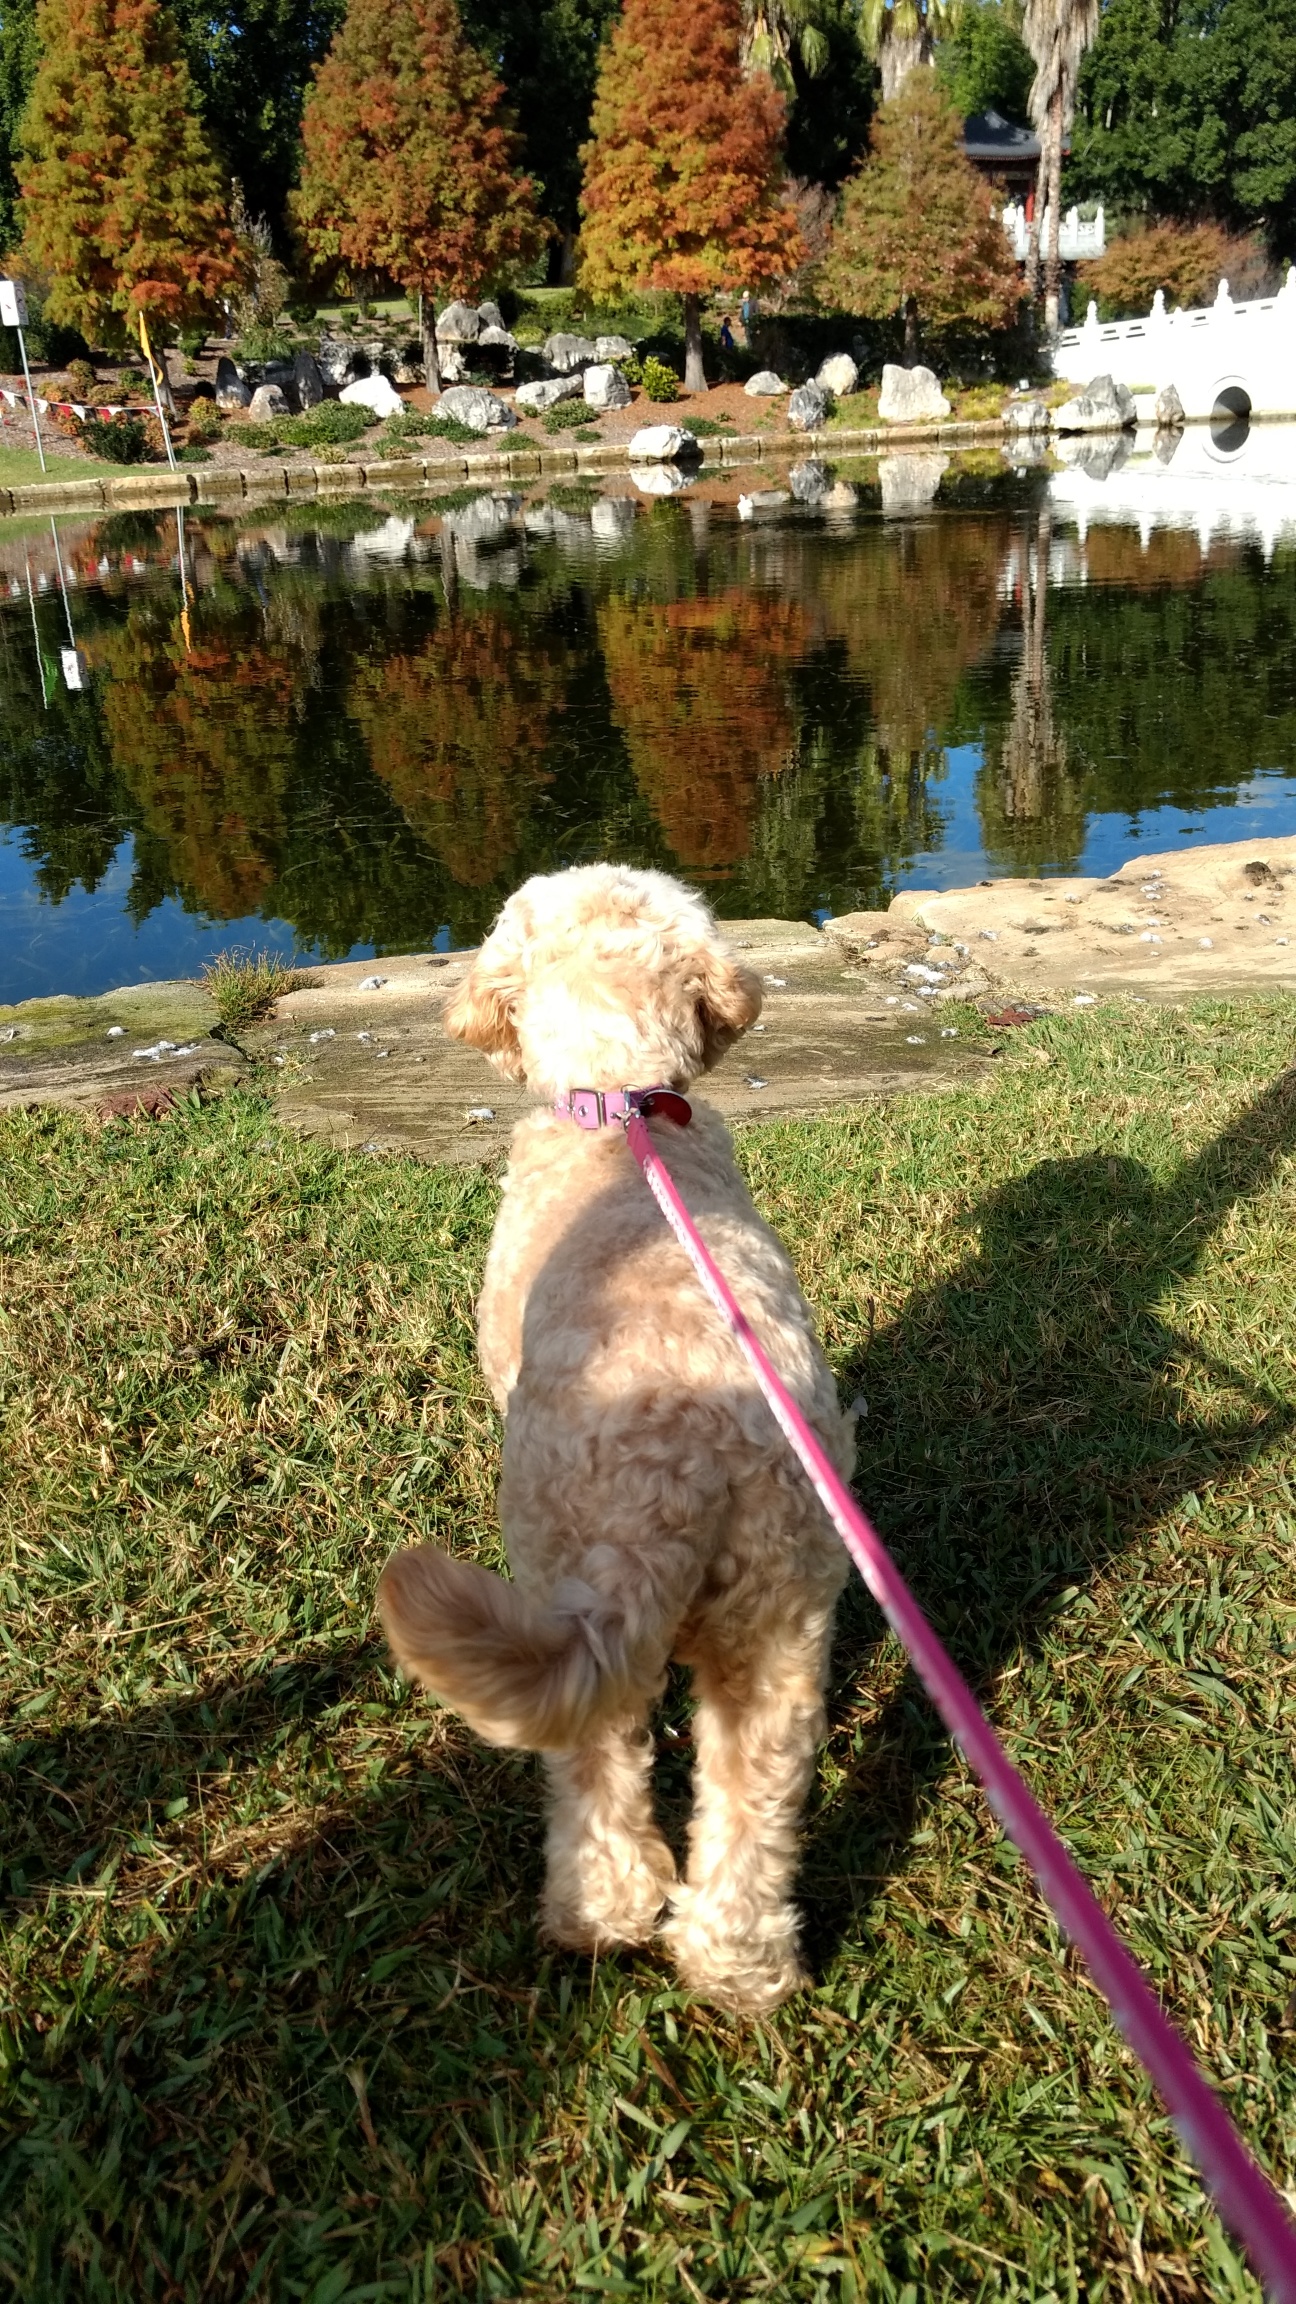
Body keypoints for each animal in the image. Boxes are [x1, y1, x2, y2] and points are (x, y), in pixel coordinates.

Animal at [378, 864, 852, 2014]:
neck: (620, 1107)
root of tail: (680, 1469)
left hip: (562, 1577)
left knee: (600, 1784)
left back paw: (591, 1923)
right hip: (778, 1625)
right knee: (751, 1811)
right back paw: (741, 1976)